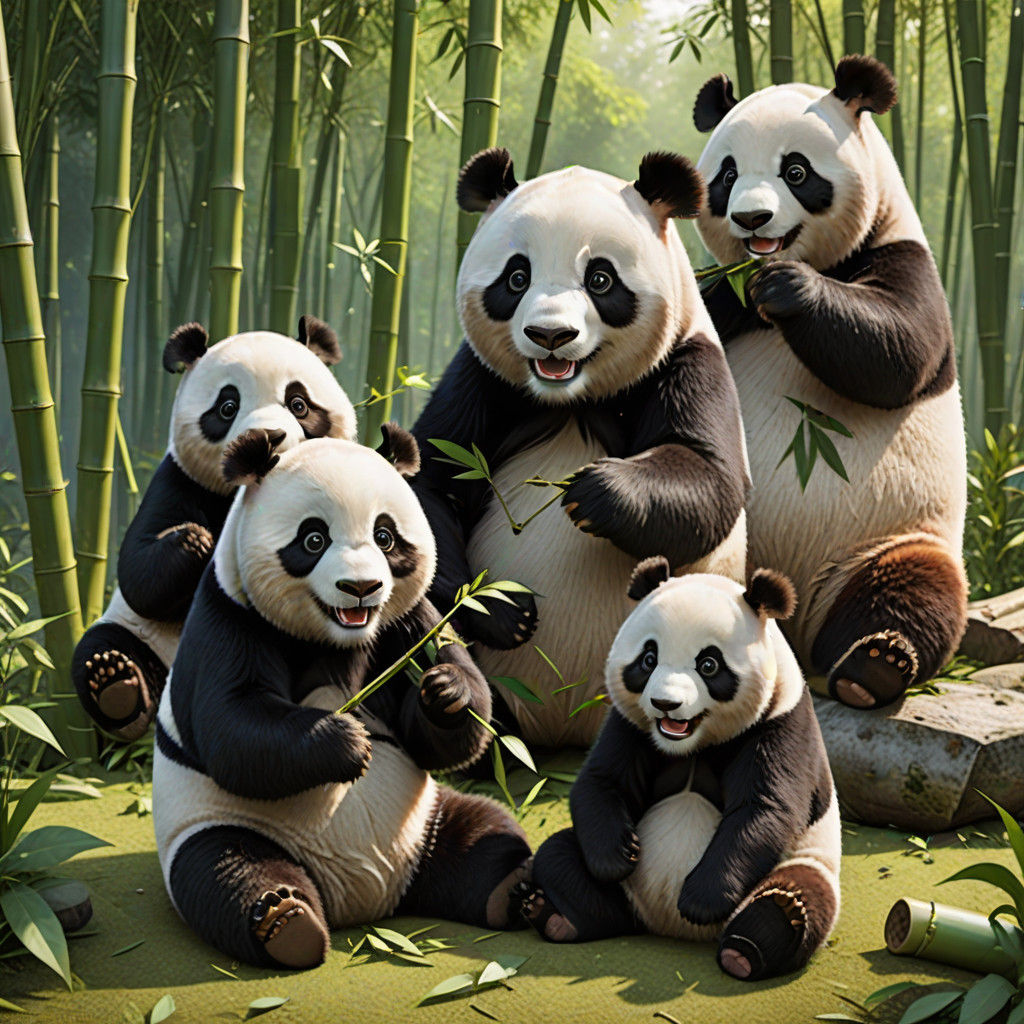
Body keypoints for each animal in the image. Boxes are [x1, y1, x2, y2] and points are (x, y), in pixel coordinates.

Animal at [71, 316, 356, 741]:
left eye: (299, 404)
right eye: (227, 406)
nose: (268, 439)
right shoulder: (179, 481)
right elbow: (138, 573)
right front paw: (195, 540)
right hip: (137, 635)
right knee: (97, 650)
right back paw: (115, 686)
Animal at [152, 426, 532, 970]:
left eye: (385, 536)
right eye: (313, 539)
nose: (361, 587)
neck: (336, 637)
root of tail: (368, 903)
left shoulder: (407, 623)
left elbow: (448, 715)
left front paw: (446, 691)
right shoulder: (229, 618)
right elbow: (233, 729)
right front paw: (347, 742)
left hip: (425, 818)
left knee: (481, 832)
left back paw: (516, 885)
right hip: (221, 825)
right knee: (226, 871)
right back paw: (285, 921)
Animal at [411, 149, 749, 748]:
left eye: (601, 278)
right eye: (516, 276)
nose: (551, 336)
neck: (569, 398)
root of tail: (553, 729)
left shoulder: (688, 359)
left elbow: (708, 479)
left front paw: (592, 492)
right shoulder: (481, 377)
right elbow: (433, 484)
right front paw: (507, 611)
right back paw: (455, 708)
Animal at [517, 559, 840, 982]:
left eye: (709, 664)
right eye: (648, 659)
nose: (665, 704)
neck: (690, 745)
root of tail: (665, 925)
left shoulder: (780, 724)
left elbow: (764, 809)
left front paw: (702, 899)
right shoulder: (631, 726)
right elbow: (602, 782)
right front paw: (618, 855)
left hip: (803, 860)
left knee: (799, 894)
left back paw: (754, 941)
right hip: (619, 888)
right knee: (558, 857)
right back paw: (555, 915)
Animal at [692, 55, 967, 711]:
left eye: (796, 171)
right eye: (727, 175)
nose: (752, 219)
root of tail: (785, 626)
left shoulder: (904, 259)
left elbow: (896, 350)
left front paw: (789, 288)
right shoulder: (720, 294)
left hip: (884, 541)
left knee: (912, 588)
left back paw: (875, 666)